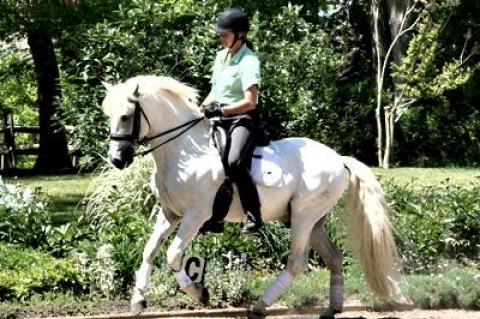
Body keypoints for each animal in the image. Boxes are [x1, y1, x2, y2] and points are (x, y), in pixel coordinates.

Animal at [103, 75, 404, 319]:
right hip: (313, 221)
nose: (117, 160)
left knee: (296, 262)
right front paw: (138, 302)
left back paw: (260, 306)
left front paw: (200, 294)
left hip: (304, 216)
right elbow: (150, 250)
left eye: (126, 116)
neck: (184, 151)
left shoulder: (195, 216)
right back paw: (333, 308)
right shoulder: (170, 213)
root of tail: (339, 158)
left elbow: (173, 255)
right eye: (110, 115)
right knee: (334, 258)